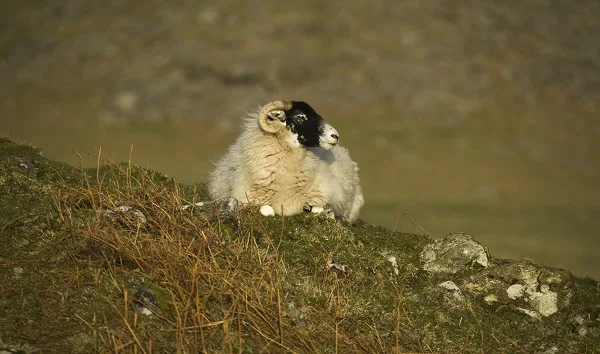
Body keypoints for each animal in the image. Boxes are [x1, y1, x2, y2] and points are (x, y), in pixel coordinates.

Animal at [209, 99, 364, 221]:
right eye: (300, 117)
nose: (335, 136)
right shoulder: (245, 198)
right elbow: (266, 210)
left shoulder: (326, 192)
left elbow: (317, 207)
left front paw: (325, 212)